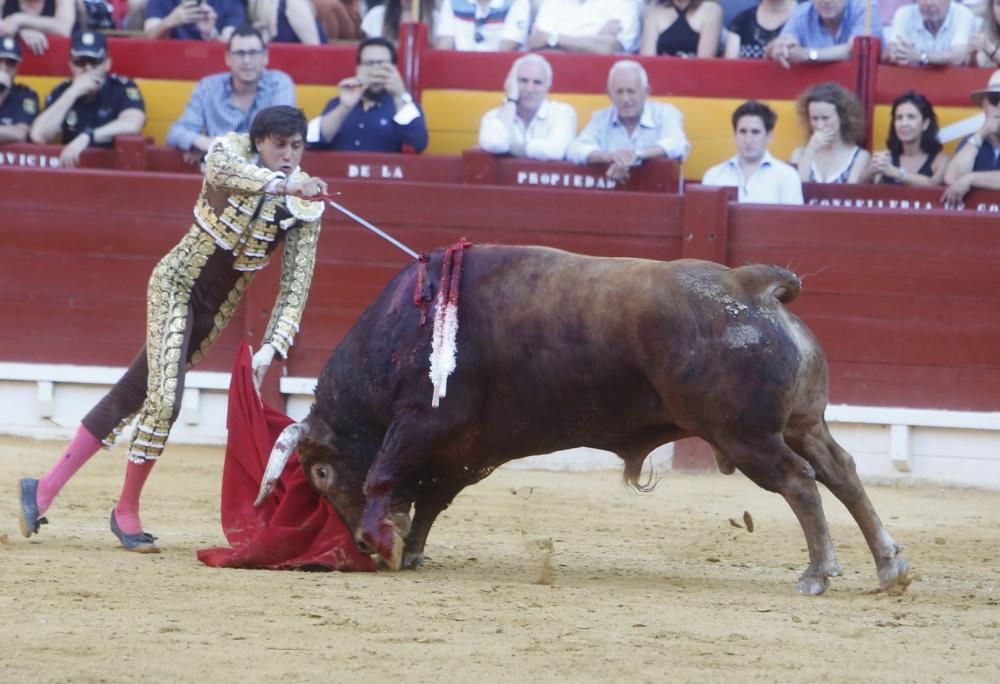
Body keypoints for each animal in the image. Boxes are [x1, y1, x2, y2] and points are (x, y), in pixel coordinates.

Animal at [260, 244, 916, 592]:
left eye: (319, 474)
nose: (355, 547)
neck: (405, 330)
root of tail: (751, 287)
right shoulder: (460, 451)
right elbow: (430, 501)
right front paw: (410, 548)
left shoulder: (420, 422)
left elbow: (383, 475)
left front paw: (383, 543)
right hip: (802, 424)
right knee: (842, 472)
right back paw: (888, 567)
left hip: (747, 437)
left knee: (801, 483)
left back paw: (819, 572)